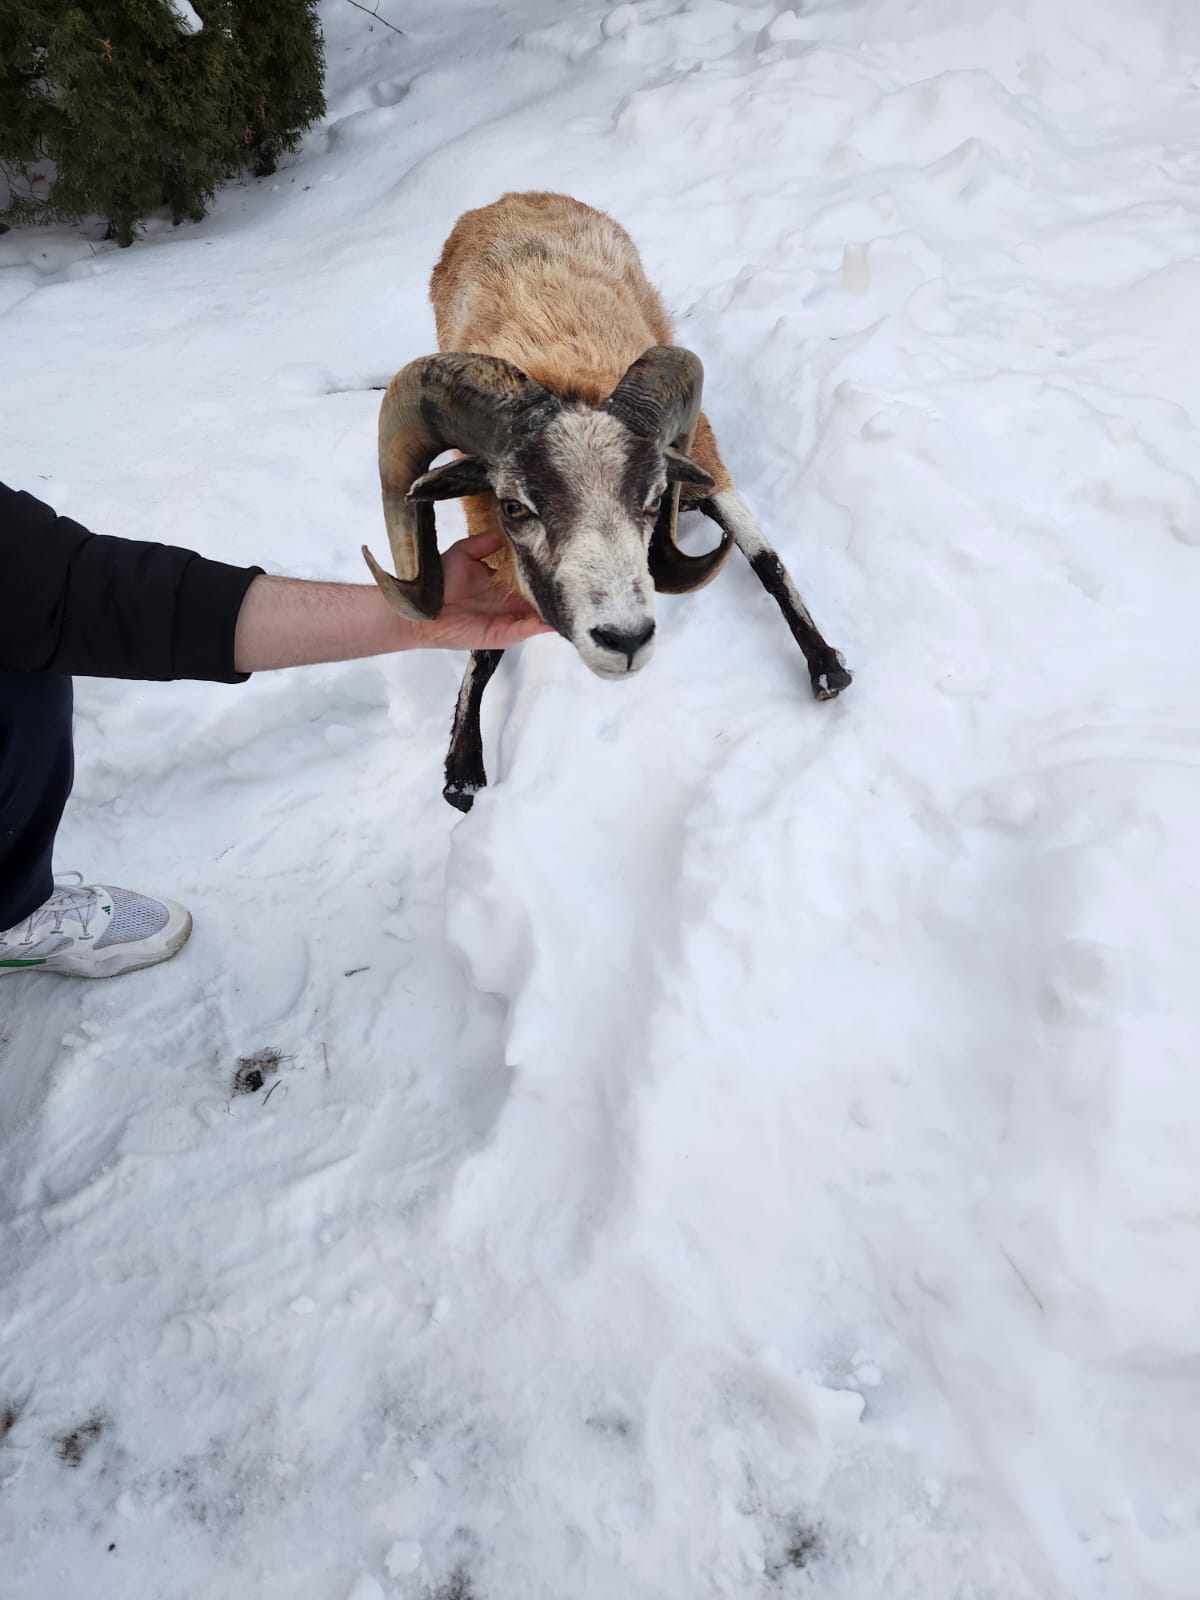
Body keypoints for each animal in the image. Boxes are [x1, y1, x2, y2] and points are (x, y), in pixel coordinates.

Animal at [362, 191, 851, 810]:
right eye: (514, 506)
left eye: (654, 499)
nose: (627, 640)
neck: (564, 373)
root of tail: (511, 198)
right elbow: (484, 649)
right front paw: (462, 769)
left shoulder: (704, 458)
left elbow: (765, 558)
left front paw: (825, 666)